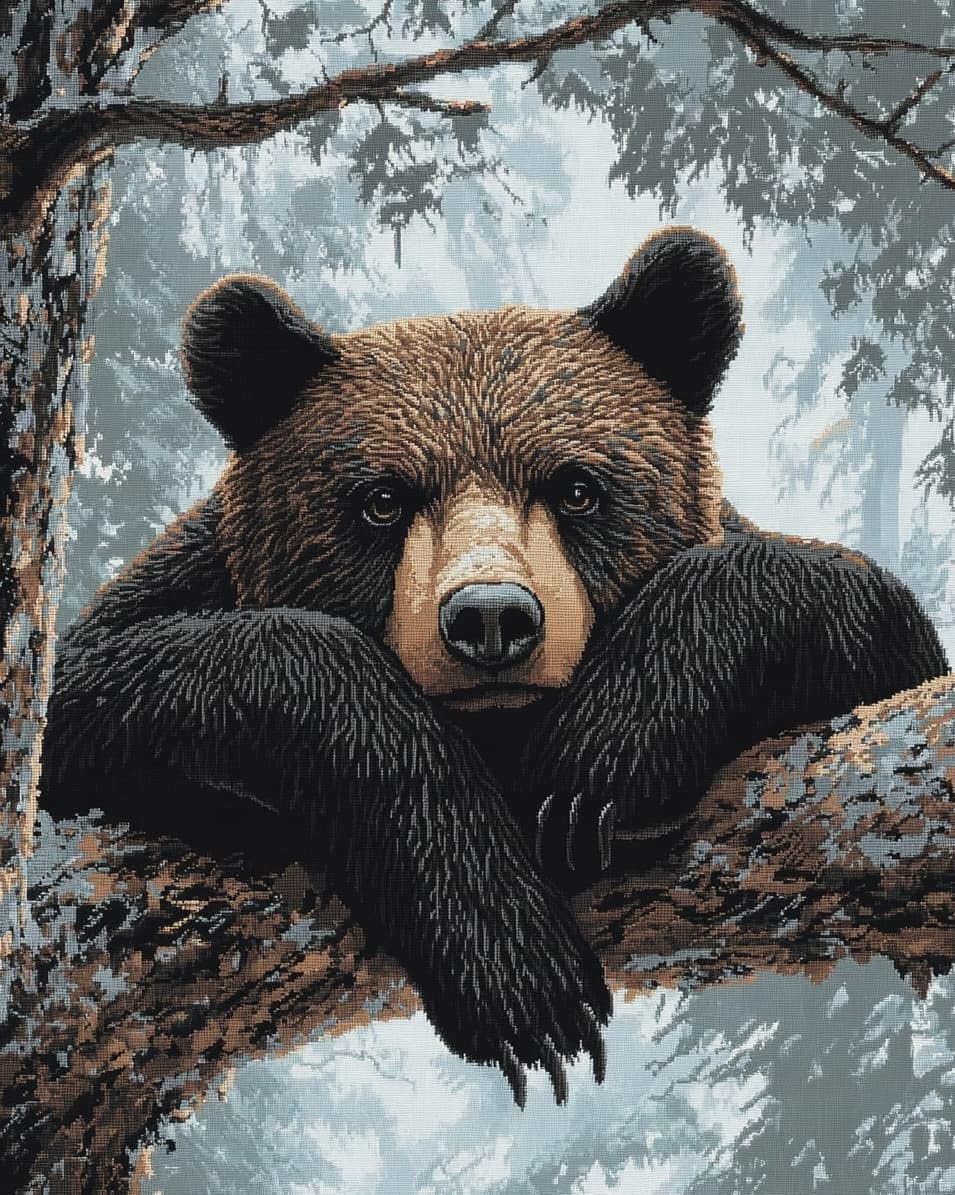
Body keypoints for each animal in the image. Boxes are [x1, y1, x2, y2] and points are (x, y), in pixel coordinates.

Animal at [41, 227, 949, 1107]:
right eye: (382, 498)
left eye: (577, 486)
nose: (489, 618)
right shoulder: (179, 596)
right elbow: (102, 682)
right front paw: (518, 969)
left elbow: (858, 608)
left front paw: (595, 767)